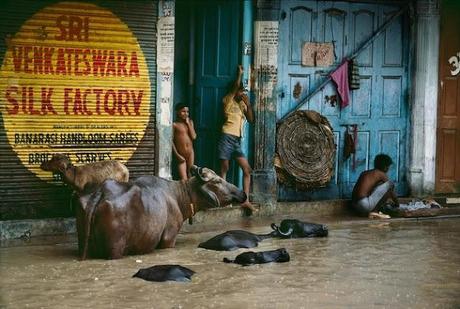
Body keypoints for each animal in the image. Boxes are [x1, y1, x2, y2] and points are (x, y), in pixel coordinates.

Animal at [76, 165, 248, 258]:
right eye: (217, 181)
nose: (242, 193)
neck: (178, 196)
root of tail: (101, 192)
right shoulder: (168, 238)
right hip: (115, 249)